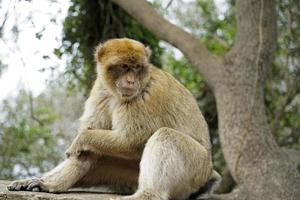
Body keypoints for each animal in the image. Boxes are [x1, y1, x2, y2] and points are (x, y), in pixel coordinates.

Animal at [7, 38, 220, 200]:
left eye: (137, 68)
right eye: (124, 66)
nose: (131, 81)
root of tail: (209, 171)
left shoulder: (147, 95)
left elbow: (132, 141)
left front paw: (82, 139)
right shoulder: (100, 90)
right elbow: (87, 152)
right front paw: (52, 184)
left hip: (196, 168)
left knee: (166, 136)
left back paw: (148, 194)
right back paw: (52, 181)